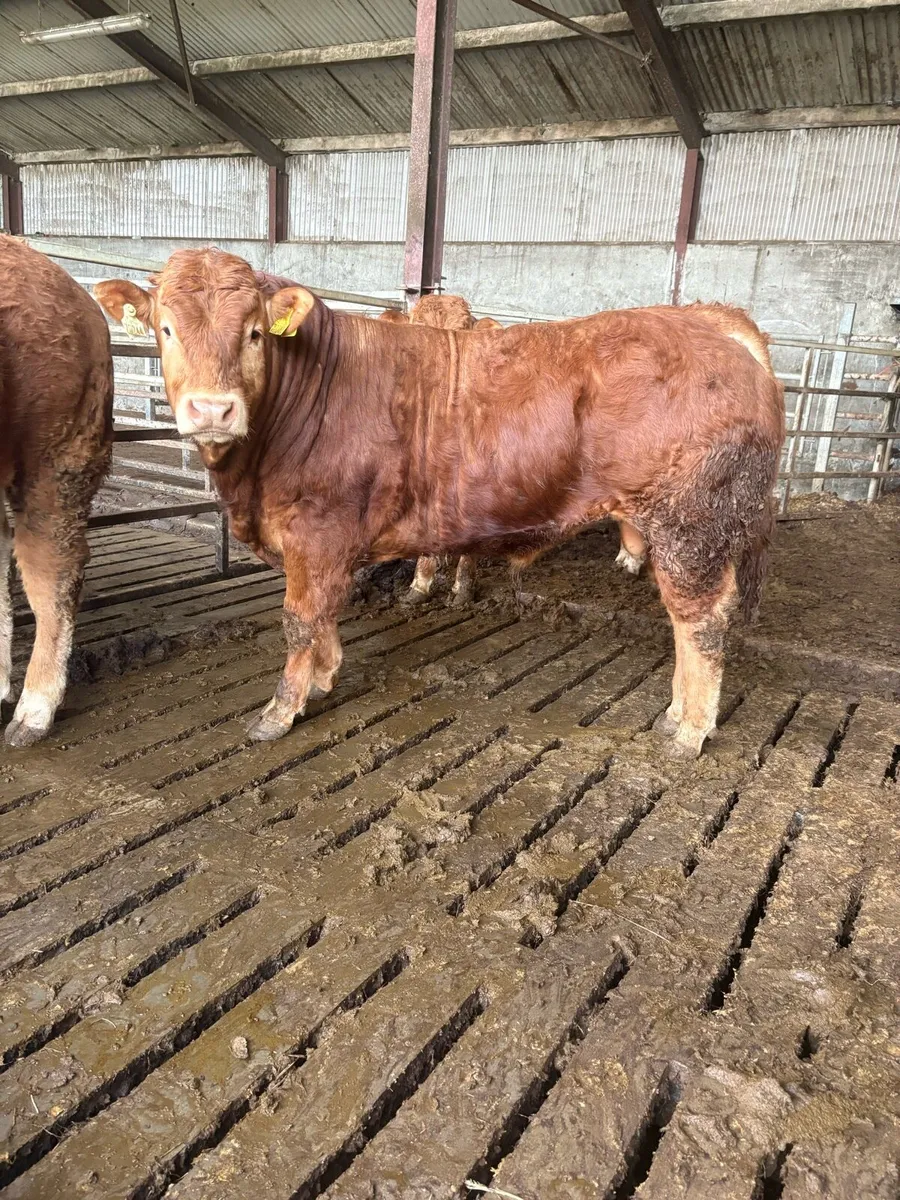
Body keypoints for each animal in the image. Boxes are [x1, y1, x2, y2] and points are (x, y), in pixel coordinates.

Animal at [94, 249, 784, 759]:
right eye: (165, 328)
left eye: (255, 332)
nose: (212, 409)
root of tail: (710, 323)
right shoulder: (329, 547)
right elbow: (326, 616)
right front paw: (325, 675)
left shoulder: (315, 534)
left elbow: (299, 620)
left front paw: (281, 709)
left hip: (689, 526)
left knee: (700, 623)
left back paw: (689, 729)